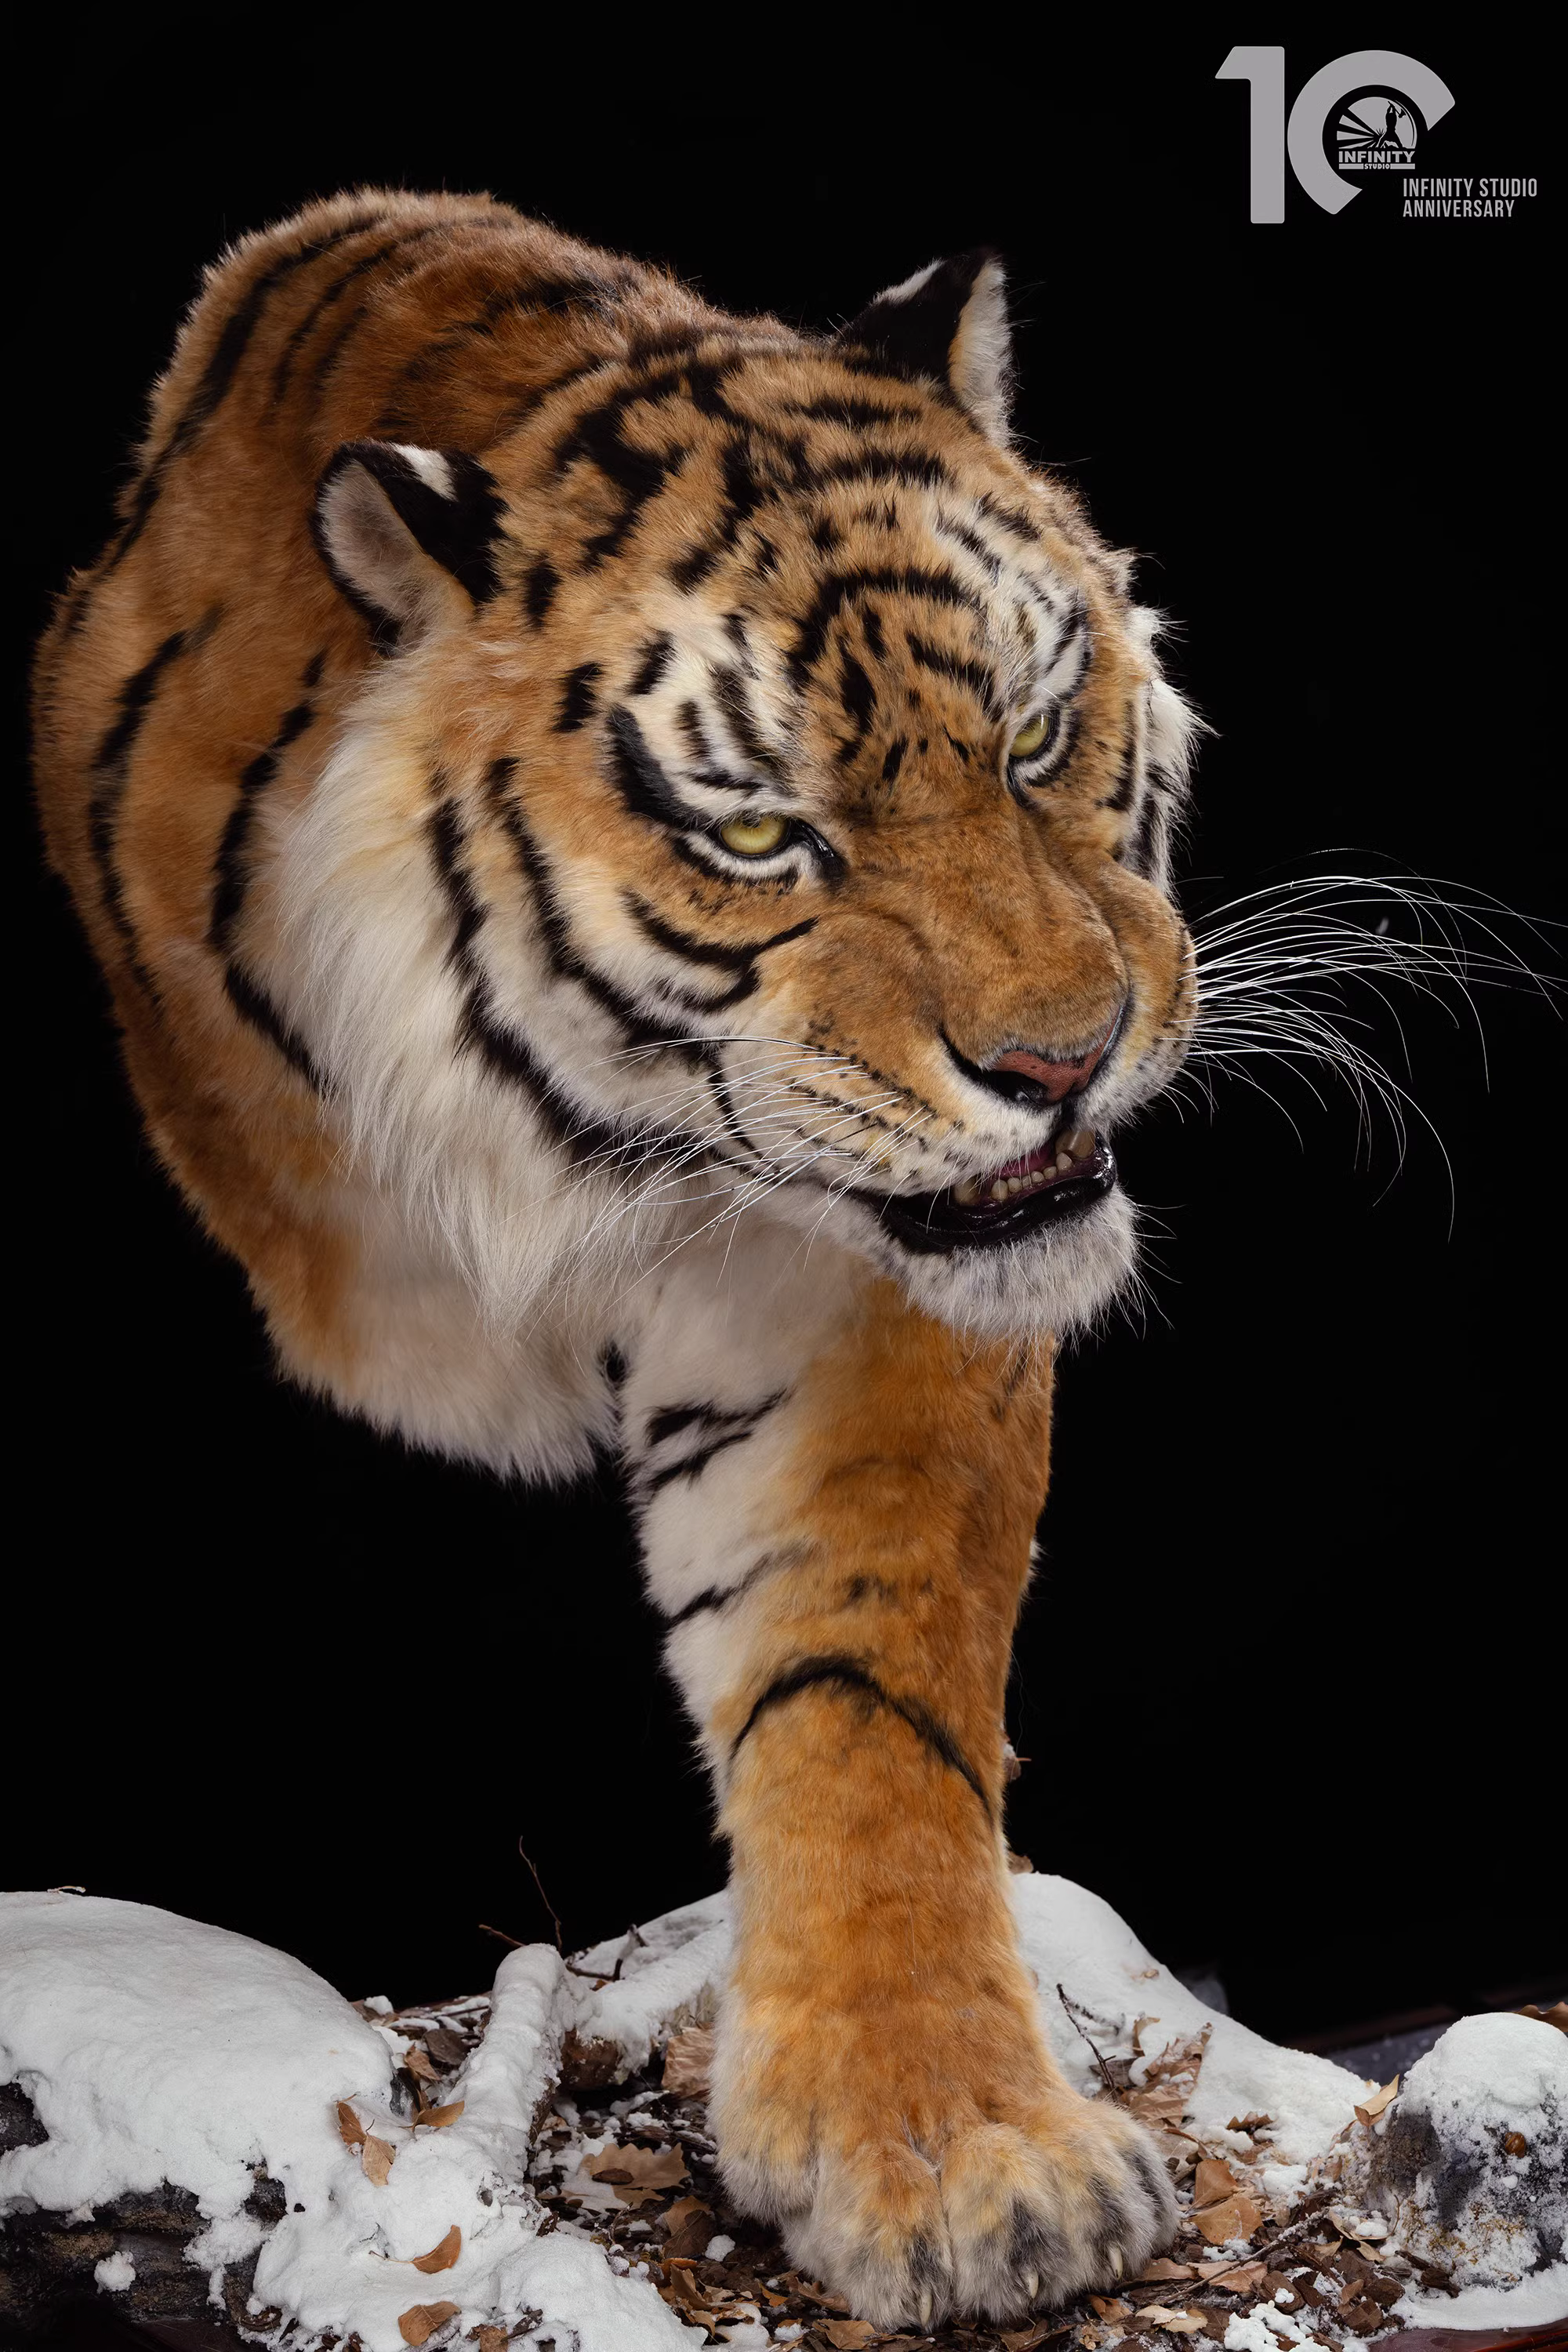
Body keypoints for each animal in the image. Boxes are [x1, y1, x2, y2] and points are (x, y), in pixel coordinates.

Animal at [33, 190, 1202, 2330]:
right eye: (754, 833)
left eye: (1031, 733)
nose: (1060, 1060)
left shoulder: (838, 1280)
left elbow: (866, 1696)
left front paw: (958, 2161)